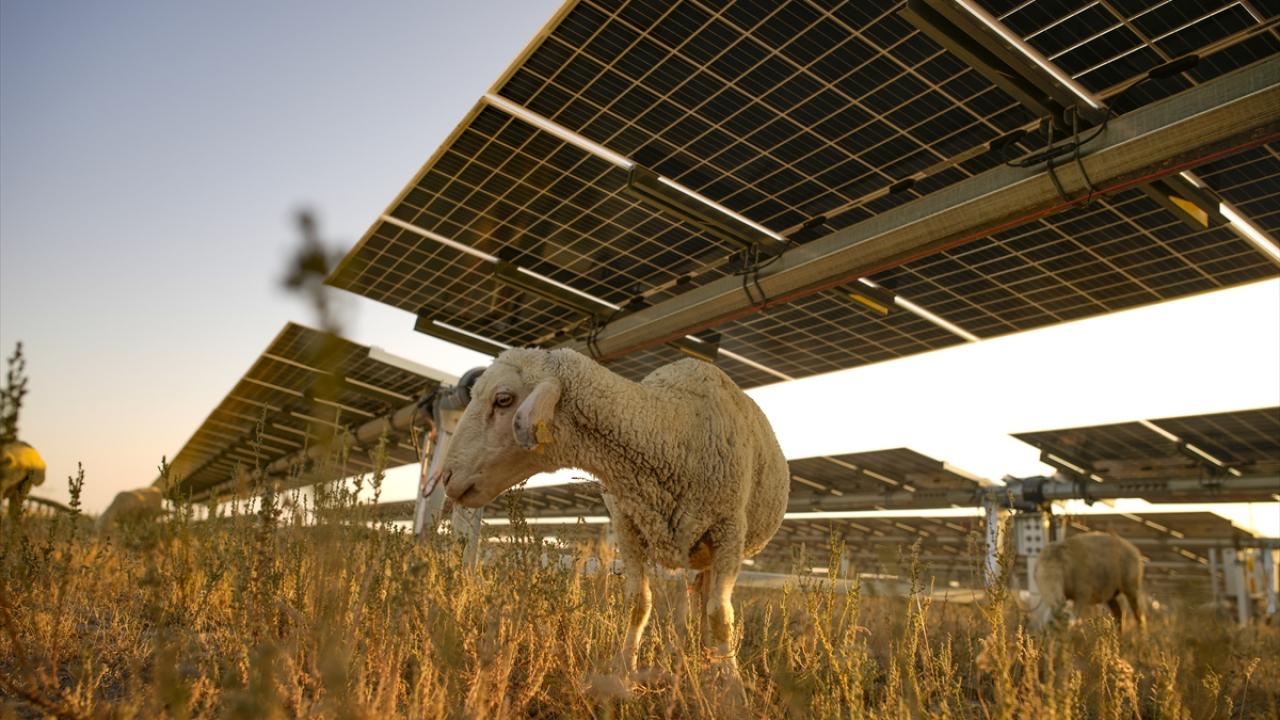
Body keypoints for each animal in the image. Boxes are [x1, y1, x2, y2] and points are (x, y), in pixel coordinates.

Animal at [435, 348, 788, 671]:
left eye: (503, 399)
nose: (446, 477)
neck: (674, 429)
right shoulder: (627, 524)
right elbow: (638, 602)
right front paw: (623, 677)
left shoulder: (729, 531)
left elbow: (719, 616)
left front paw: (732, 689)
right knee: (697, 597)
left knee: (709, 603)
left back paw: (711, 662)